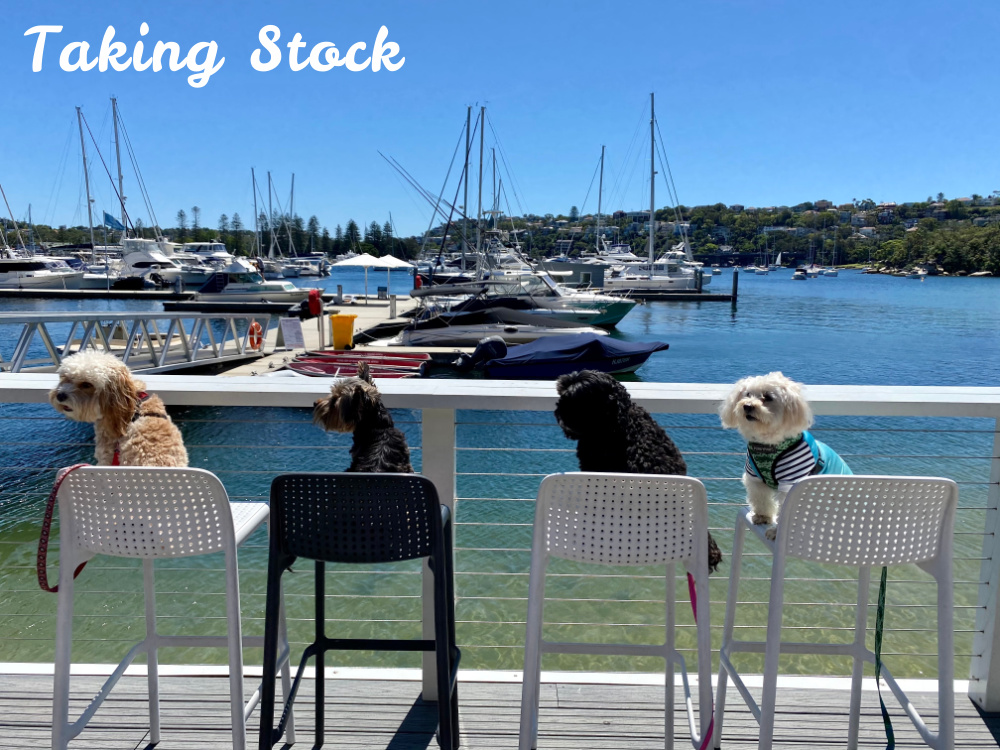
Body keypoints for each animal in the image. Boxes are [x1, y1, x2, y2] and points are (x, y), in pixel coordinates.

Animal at [720, 372, 852, 540]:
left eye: (768, 397)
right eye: (748, 394)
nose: (747, 405)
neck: (768, 445)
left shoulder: (790, 482)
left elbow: (785, 512)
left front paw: (776, 532)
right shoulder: (755, 478)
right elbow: (761, 499)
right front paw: (762, 517)